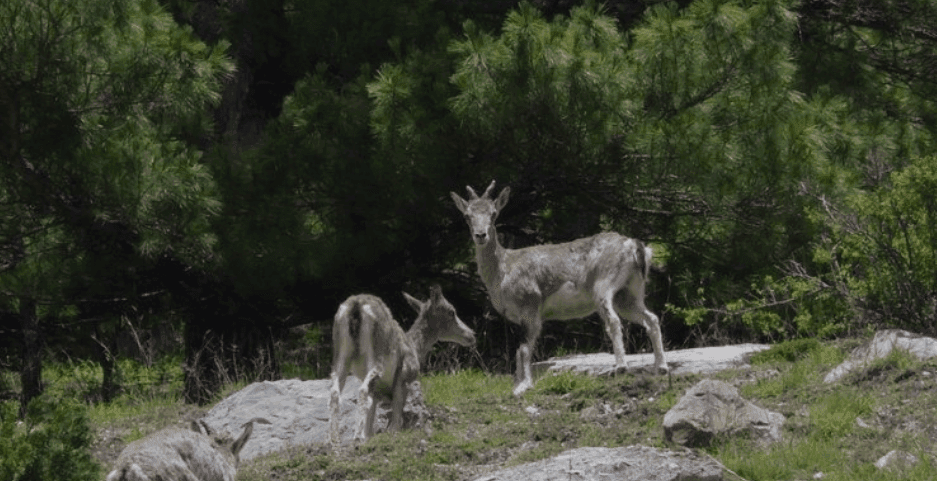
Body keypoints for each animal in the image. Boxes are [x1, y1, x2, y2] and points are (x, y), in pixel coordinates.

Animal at [329, 285, 475, 449]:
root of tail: (356, 305)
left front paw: (368, 437)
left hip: (340, 356)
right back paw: (355, 438)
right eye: (452, 311)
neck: (415, 349)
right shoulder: (405, 375)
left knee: (334, 392)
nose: (471, 335)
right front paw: (389, 434)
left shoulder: (378, 389)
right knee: (361, 390)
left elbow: (372, 417)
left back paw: (333, 440)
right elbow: (396, 414)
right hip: (377, 356)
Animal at [451, 180, 667, 396]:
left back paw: (621, 367)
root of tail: (635, 246)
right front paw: (517, 384)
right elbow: (519, 350)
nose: (480, 235)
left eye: (494, 213)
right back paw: (661, 367)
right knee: (652, 318)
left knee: (614, 320)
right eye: (467, 215)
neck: (503, 269)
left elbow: (524, 350)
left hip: (603, 286)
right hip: (630, 293)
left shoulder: (531, 306)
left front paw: (523, 386)